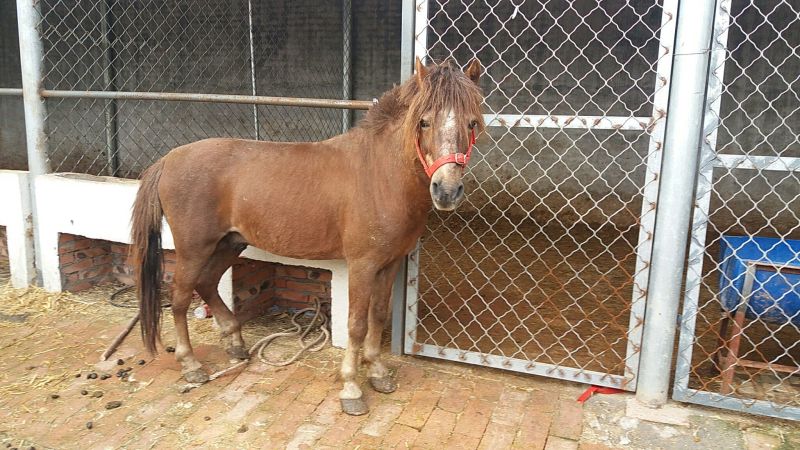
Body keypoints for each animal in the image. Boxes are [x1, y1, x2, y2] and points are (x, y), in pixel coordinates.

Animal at [130, 58, 485, 415]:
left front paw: (378, 373)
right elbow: (357, 324)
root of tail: (168, 159)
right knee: (179, 298)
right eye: (424, 122)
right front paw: (351, 389)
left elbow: (378, 316)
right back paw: (191, 365)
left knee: (206, 284)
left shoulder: (391, 263)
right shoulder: (362, 265)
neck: (379, 175)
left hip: (230, 244)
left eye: (471, 123)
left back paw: (236, 344)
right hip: (194, 249)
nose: (447, 190)